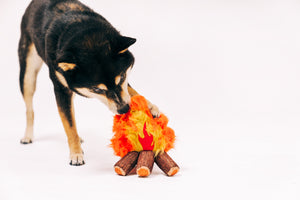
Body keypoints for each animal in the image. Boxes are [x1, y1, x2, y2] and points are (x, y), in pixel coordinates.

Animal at [18, 0, 159, 166]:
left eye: (122, 77)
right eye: (97, 90)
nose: (124, 109)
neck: (80, 30)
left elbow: (131, 91)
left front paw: (150, 106)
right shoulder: (61, 88)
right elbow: (69, 125)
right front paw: (76, 153)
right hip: (27, 74)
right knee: (30, 109)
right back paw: (28, 136)